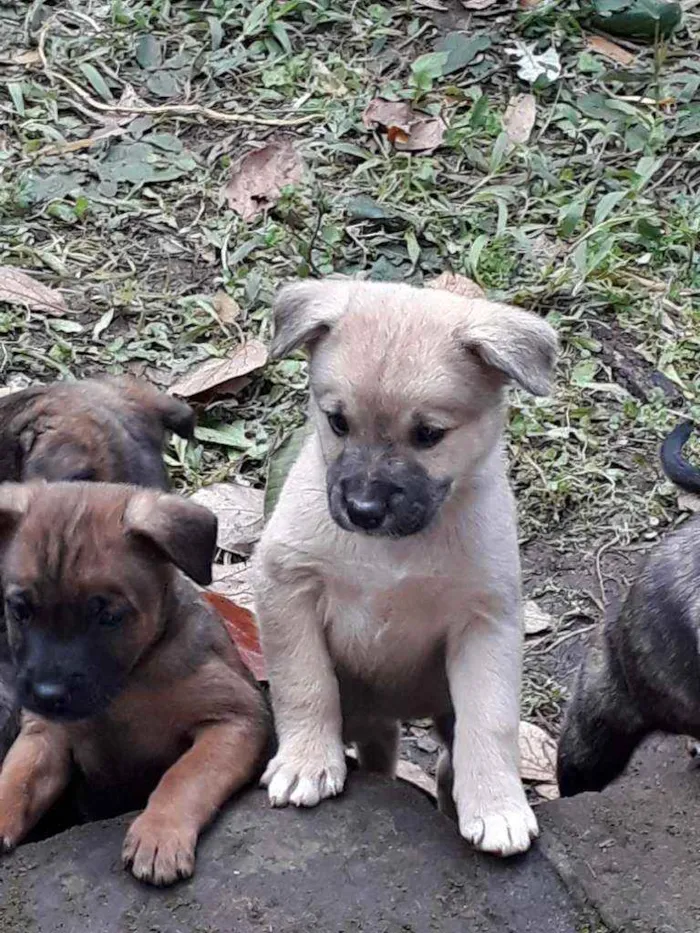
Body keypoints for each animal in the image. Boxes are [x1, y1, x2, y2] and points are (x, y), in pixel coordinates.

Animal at [0, 484, 268, 884]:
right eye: (20, 610)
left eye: (109, 617)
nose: (48, 695)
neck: (125, 688)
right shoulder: (44, 735)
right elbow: (15, 780)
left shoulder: (236, 717)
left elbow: (185, 775)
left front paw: (159, 833)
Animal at [253, 280, 556, 856]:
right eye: (338, 422)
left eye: (429, 435)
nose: (363, 510)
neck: (394, 551)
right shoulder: (287, 584)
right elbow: (303, 682)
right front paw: (306, 761)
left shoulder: (486, 622)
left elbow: (491, 720)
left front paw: (497, 805)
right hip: (366, 712)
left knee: (443, 759)